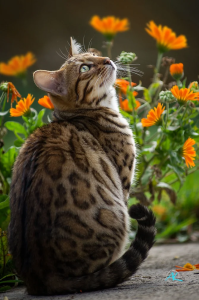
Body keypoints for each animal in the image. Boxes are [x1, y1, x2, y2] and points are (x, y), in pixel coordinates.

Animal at [8, 37, 156, 296]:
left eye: (93, 56)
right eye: (85, 68)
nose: (106, 59)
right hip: (118, 213)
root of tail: (41, 277)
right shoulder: (123, 180)